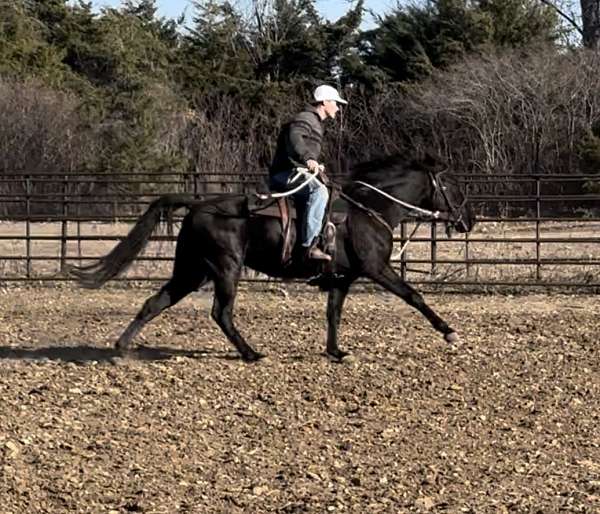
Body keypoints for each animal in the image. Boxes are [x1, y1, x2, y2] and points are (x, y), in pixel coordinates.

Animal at [68, 153, 476, 360]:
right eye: (454, 185)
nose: (469, 219)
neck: (368, 209)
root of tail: (199, 204)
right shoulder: (377, 268)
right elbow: (414, 296)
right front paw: (450, 333)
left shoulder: (342, 278)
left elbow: (333, 314)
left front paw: (336, 351)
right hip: (225, 269)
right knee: (221, 312)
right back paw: (251, 353)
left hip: (192, 271)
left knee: (155, 302)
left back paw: (121, 349)